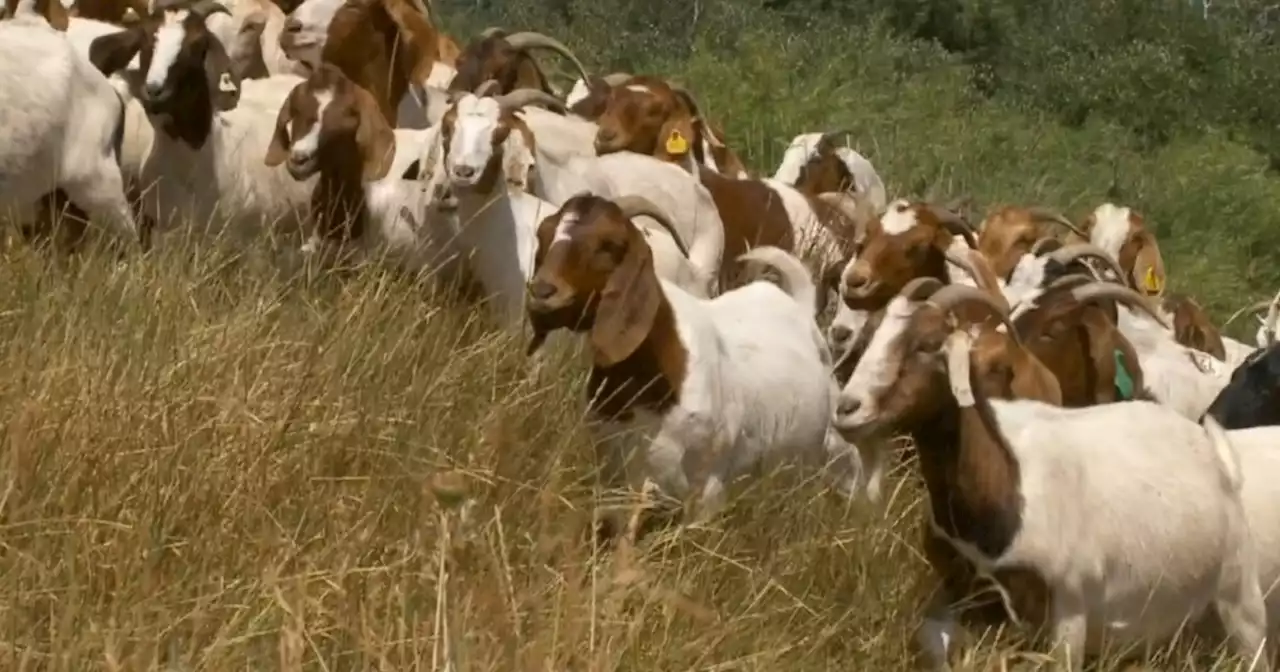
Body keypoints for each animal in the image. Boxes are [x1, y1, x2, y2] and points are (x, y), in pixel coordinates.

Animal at [524, 192, 865, 529]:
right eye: (543, 234)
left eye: (608, 244)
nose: (542, 291)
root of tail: (800, 307)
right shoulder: (617, 476)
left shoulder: (705, 491)